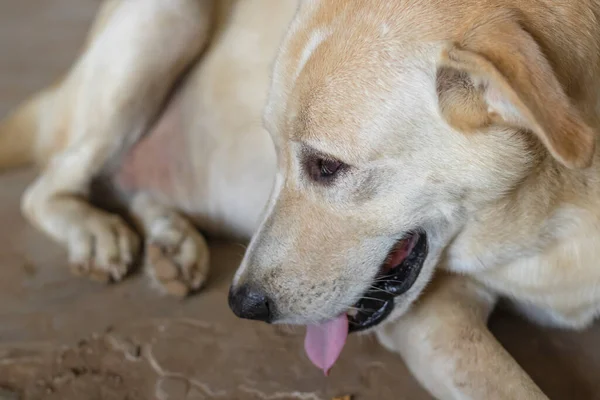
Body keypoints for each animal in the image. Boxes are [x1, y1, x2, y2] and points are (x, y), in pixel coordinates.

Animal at [1, 0, 600, 398]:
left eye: (326, 166)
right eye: (273, 149)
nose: (242, 304)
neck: (556, 209)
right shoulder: (436, 316)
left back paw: (171, 241)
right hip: (170, 19)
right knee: (46, 187)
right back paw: (94, 231)